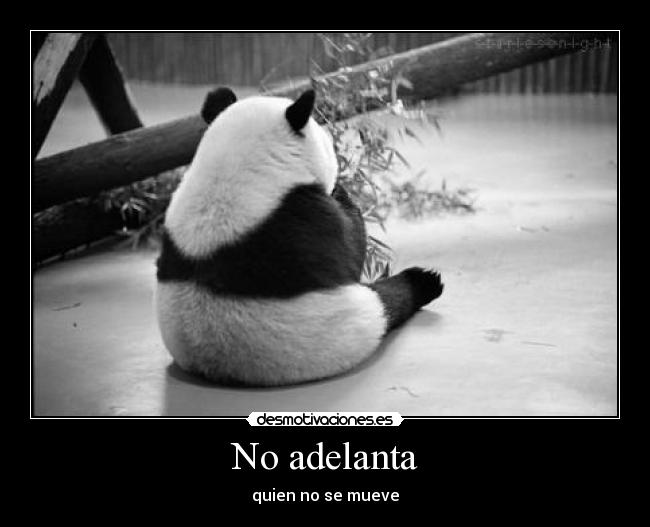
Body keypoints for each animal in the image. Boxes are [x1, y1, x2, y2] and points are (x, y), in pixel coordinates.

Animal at [155, 86, 443, 386]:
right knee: (388, 302)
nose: (337, 169)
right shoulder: (306, 220)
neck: (232, 171)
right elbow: (350, 250)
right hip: (355, 322)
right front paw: (343, 194)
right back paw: (424, 281)